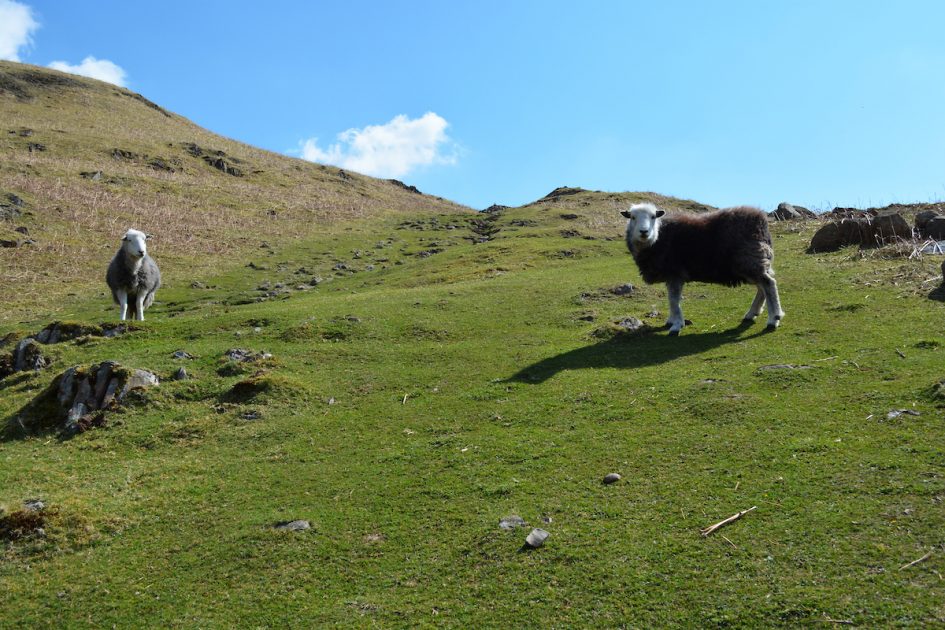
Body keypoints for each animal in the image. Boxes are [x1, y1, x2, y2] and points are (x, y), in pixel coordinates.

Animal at [621, 203, 784, 335]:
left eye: (653, 216)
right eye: (633, 217)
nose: (644, 232)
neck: (658, 238)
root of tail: (760, 219)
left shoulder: (675, 273)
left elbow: (674, 300)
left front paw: (676, 326)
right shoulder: (670, 276)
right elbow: (671, 299)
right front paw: (671, 320)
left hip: (750, 259)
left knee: (768, 284)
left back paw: (773, 319)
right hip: (754, 262)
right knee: (762, 287)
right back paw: (752, 313)